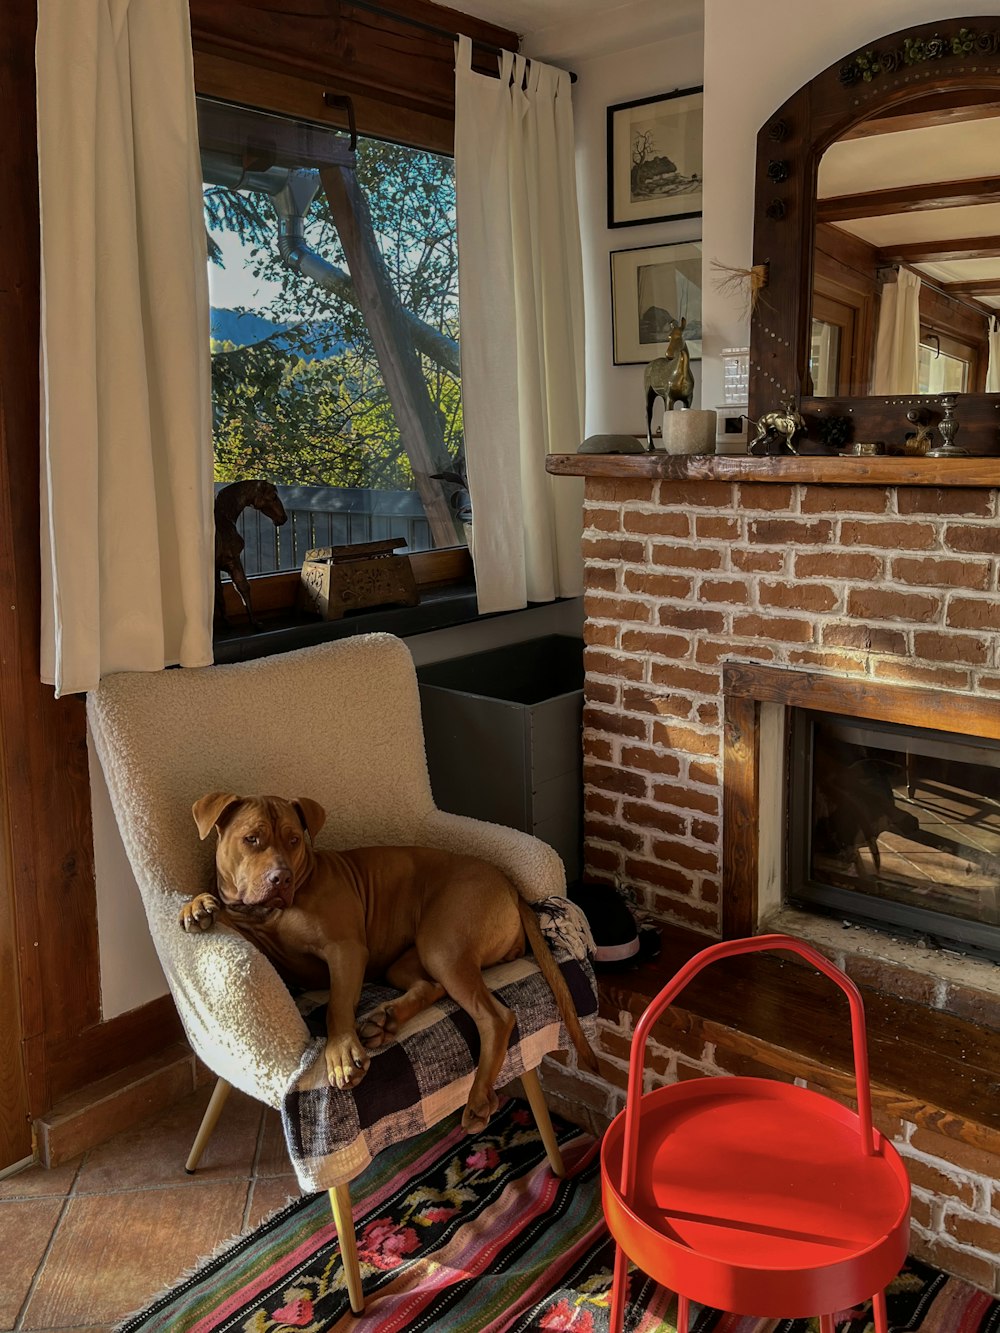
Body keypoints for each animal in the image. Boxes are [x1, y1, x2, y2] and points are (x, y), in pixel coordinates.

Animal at [178, 794, 594, 1130]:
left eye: (294, 839)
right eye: (251, 839)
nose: (280, 877)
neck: (271, 913)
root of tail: (510, 884)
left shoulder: (345, 950)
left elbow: (338, 1006)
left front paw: (340, 1053)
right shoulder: (260, 935)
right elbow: (230, 918)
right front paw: (197, 905)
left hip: (441, 945)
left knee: (495, 1017)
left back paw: (476, 1098)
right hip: (410, 961)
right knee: (432, 985)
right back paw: (385, 1020)